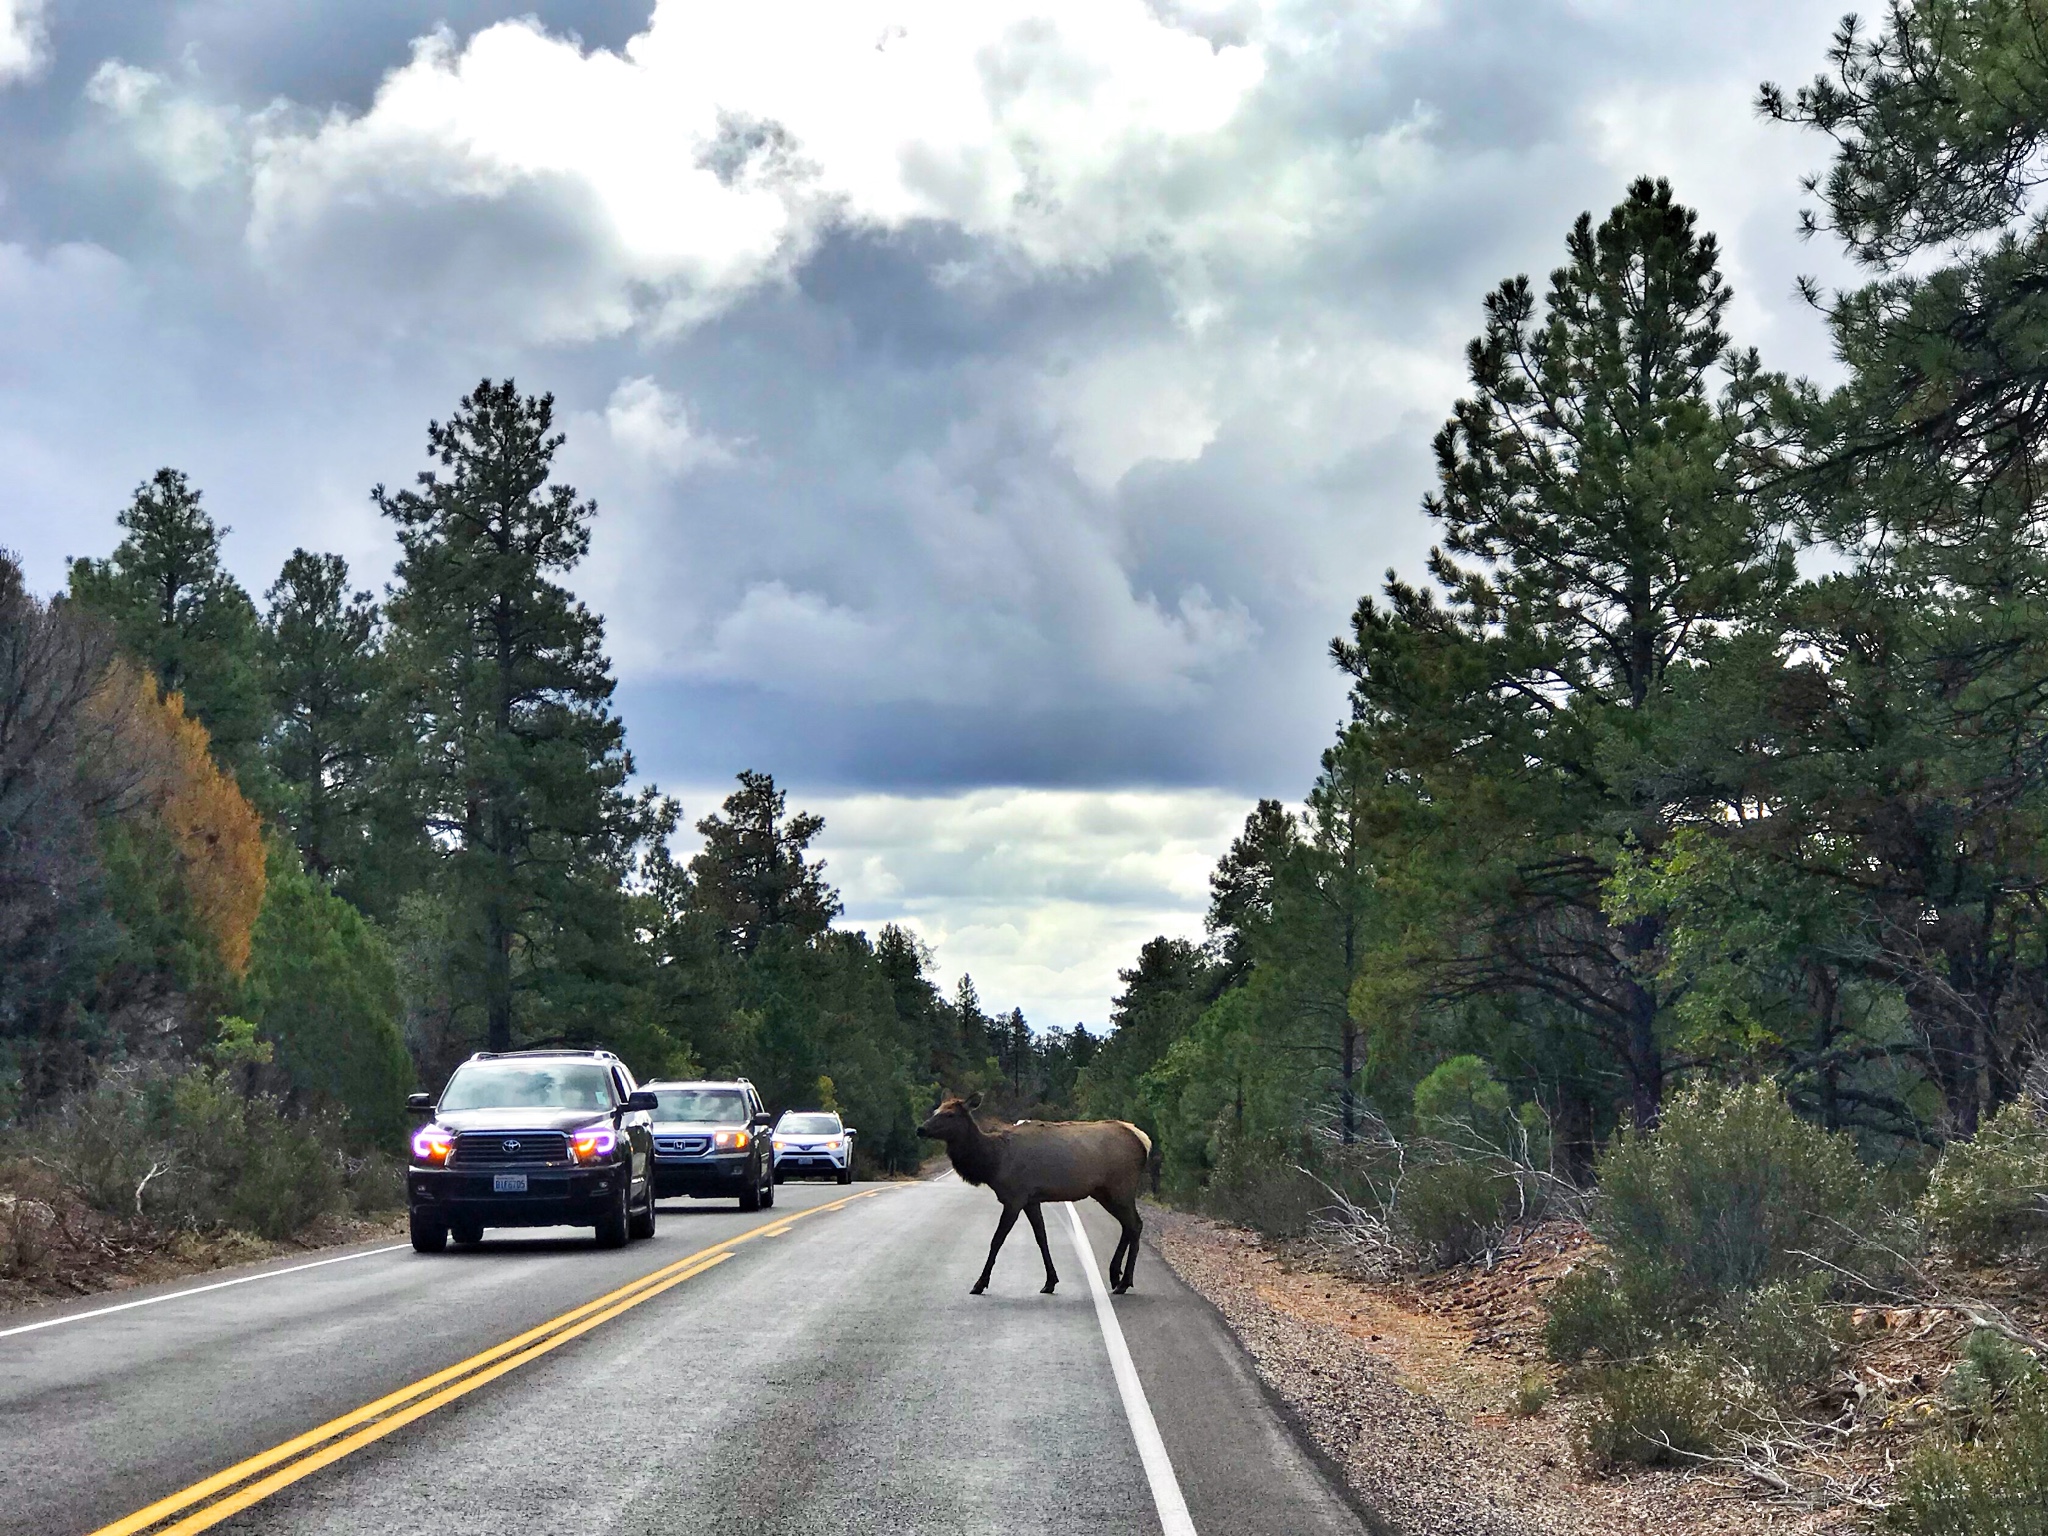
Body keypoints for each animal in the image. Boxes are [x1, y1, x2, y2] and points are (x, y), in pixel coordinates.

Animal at [917, 1097, 1155, 1302]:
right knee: (1128, 1225)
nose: (921, 1129)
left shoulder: (1014, 1197)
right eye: (936, 1110)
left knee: (1135, 1224)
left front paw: (979, 1283)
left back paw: (1124, 1282)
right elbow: (1042, 1237)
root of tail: (1144, 1140)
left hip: (1121, 1187)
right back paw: (1115, 1275)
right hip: (1103, 1192)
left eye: (950, 1114)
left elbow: (997, 1239)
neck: (993, 1163)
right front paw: (1050, 1281)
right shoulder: (1031, 1199)